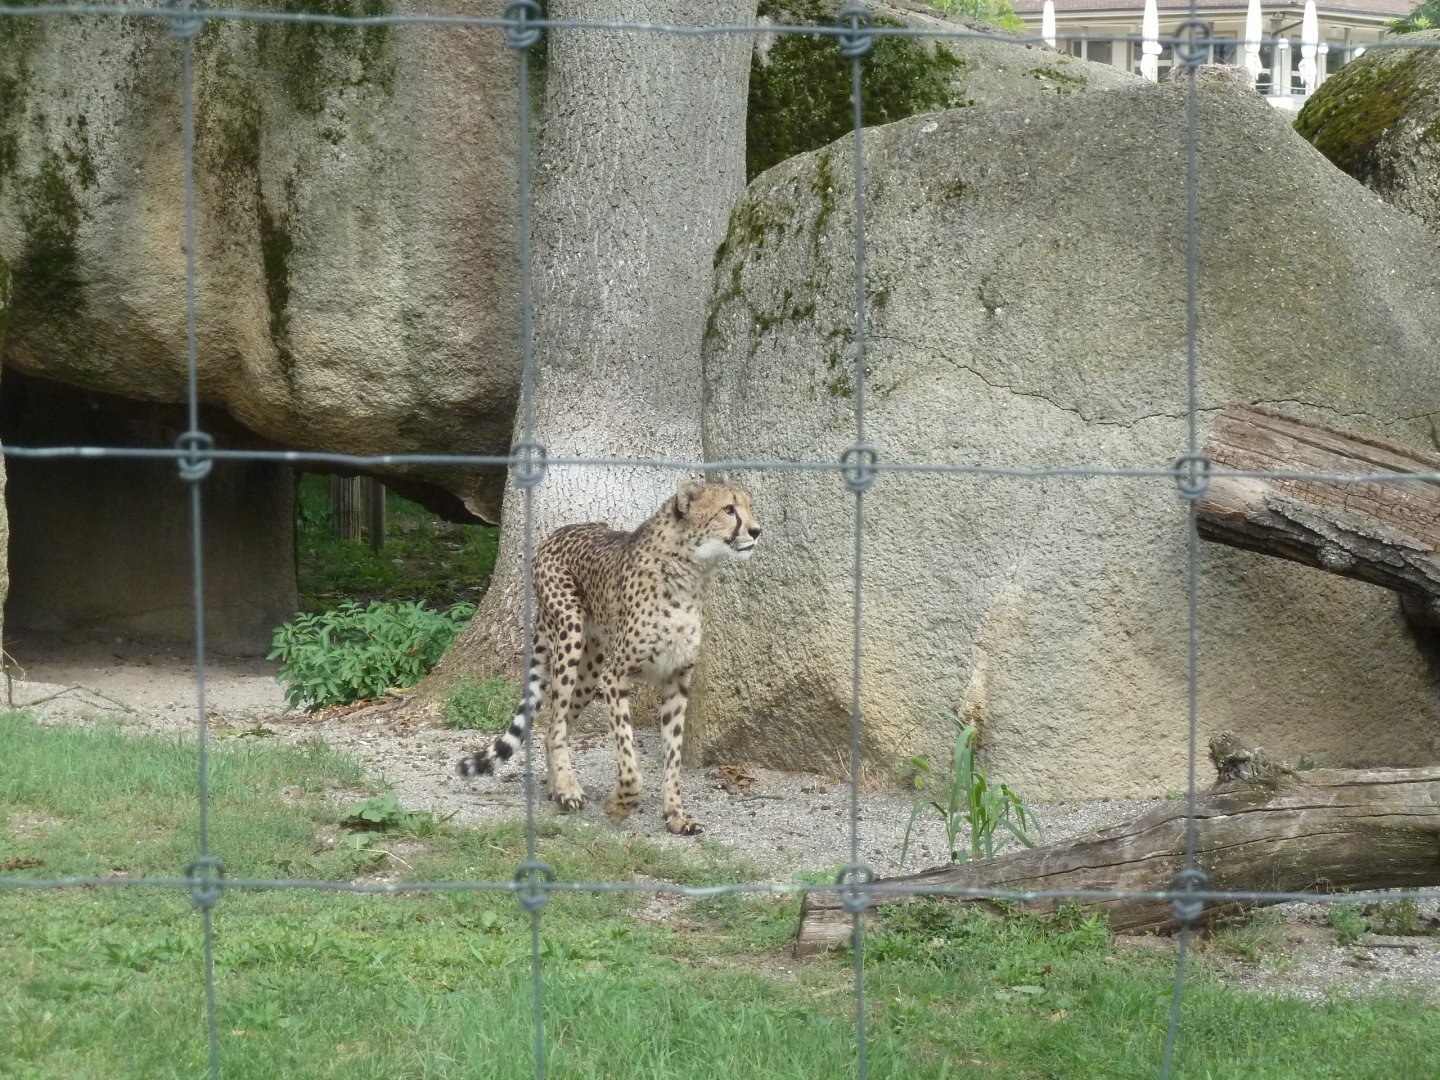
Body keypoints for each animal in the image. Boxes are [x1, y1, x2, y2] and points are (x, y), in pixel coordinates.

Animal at [457, 478, 761, 835]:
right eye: (728, 509)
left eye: (749, 507)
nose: (756, 530)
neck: (690, 570)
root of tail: (559, 532)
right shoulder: (616, 677)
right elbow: (629, 757)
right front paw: (620, 806)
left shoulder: (677, 680)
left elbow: (673, 754)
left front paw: (676, 814)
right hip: (570, 635)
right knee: (555, 722)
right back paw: (567, 788)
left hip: (591, 670)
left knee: (556, 726)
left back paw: (556, 785)